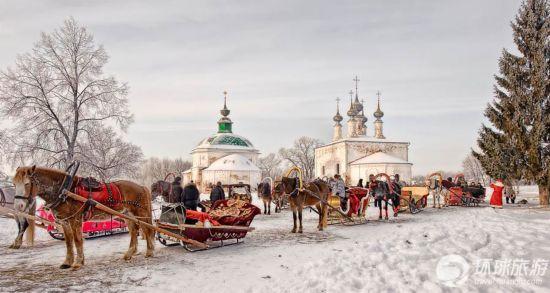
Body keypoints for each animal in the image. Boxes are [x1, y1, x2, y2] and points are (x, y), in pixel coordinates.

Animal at [12, 165, 155, 268]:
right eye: (14, 184)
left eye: (27, 183)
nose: (19, 205)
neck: (64, 190)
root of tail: (141, 186)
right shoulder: (64, 222)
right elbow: (68, 242)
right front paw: (67, 262)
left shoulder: (75, 219)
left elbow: (77, 240)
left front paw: (78, 262)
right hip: (127, 214)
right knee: (134, 231)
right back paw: (130, 253)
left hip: (140, 213)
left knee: (147, 229)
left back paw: (150, 251)